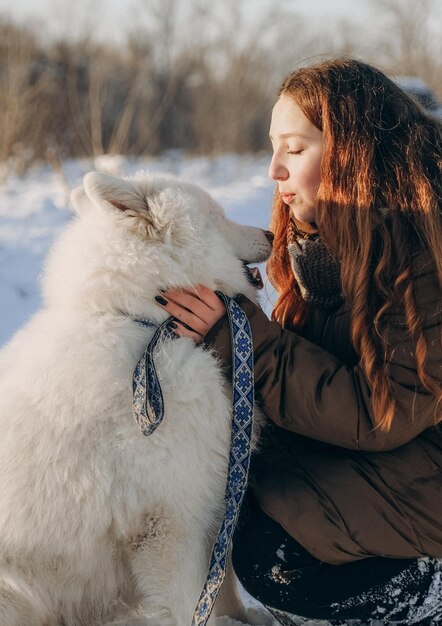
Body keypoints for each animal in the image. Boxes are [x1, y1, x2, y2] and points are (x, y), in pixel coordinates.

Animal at [0, 173, 272, 624]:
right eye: (218, 216)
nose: (270, 233)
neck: (150, 326)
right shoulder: (168, 524)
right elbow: (190, 604)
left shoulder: (213, 497)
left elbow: (222, 584)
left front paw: (244, 618)